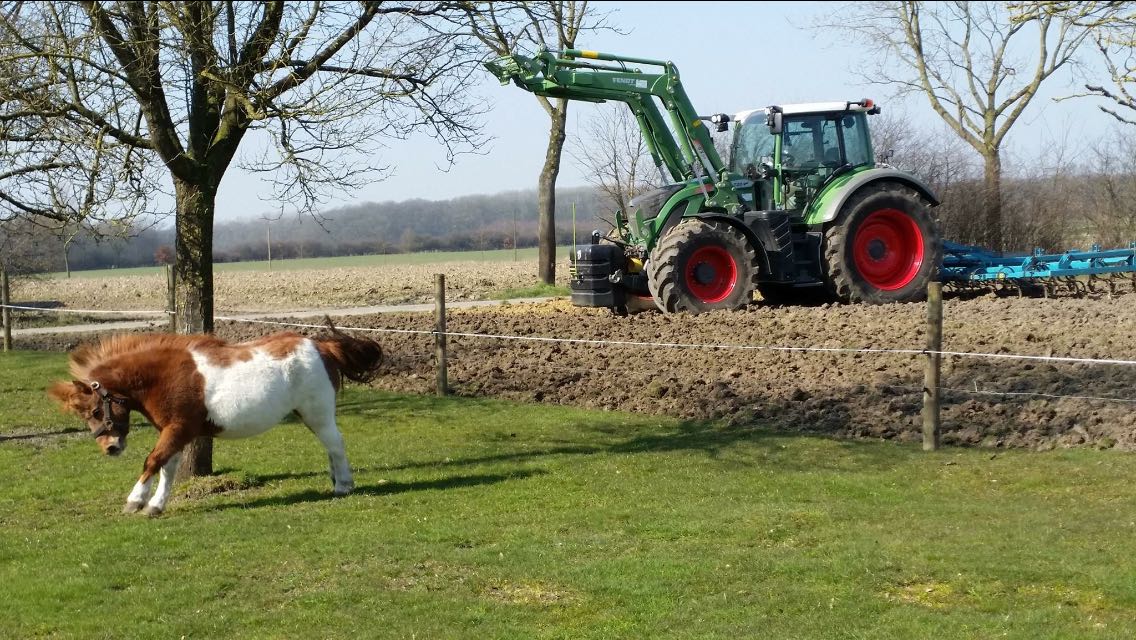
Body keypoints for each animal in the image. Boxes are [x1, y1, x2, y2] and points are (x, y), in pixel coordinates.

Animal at [46, 322, 383, 518]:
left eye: (94, 412)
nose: (110, 448)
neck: (165, 376)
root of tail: (322, 346)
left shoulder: (177, 429)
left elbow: (152, 461)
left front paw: (135, 500)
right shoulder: (176, 433)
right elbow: (167, 468)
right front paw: (155, 505)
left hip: (317, 412)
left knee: (336, 444)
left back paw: (343, 485)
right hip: (311, 415)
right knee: (330, 446)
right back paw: (335, 480)